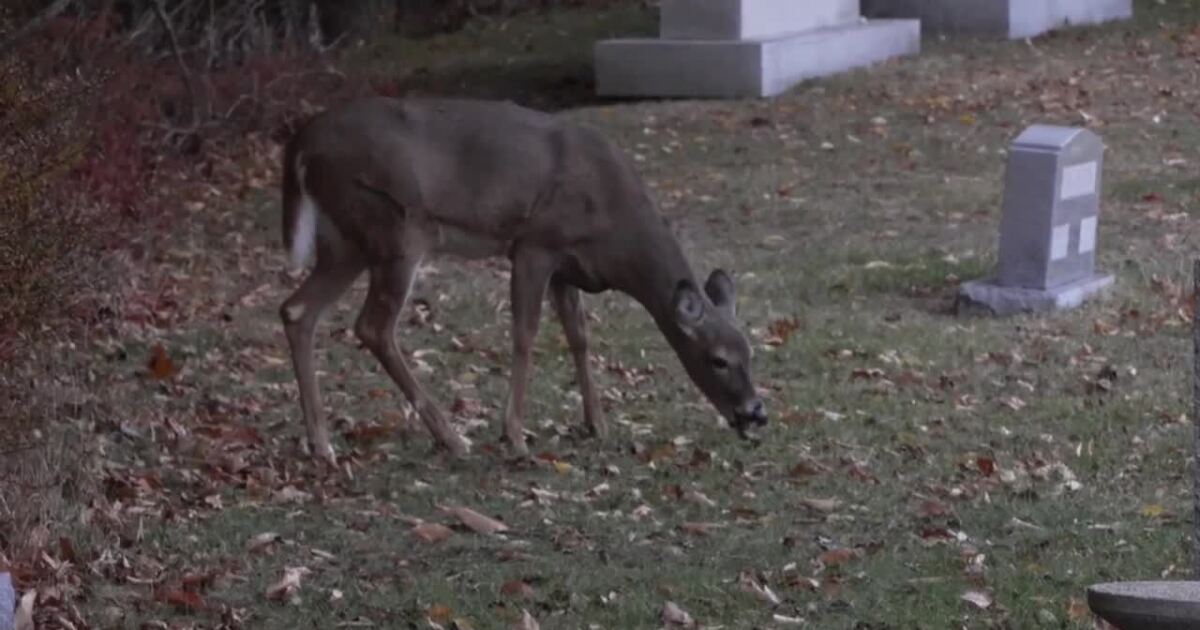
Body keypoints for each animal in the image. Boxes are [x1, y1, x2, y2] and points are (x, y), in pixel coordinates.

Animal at [278, 96, 767, 463]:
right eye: (718, 359)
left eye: (751, 353)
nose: (755, 413)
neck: (615, 230)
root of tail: (301, 143)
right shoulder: (536, 243)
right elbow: (525, 334)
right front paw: (513, 433)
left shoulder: (568, 267)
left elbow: (579, 337)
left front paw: (597, 423)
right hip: (394, 227)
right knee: (373, 326)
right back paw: (452, 437)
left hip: (345, 241)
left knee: (296, 310)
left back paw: (321, 444)